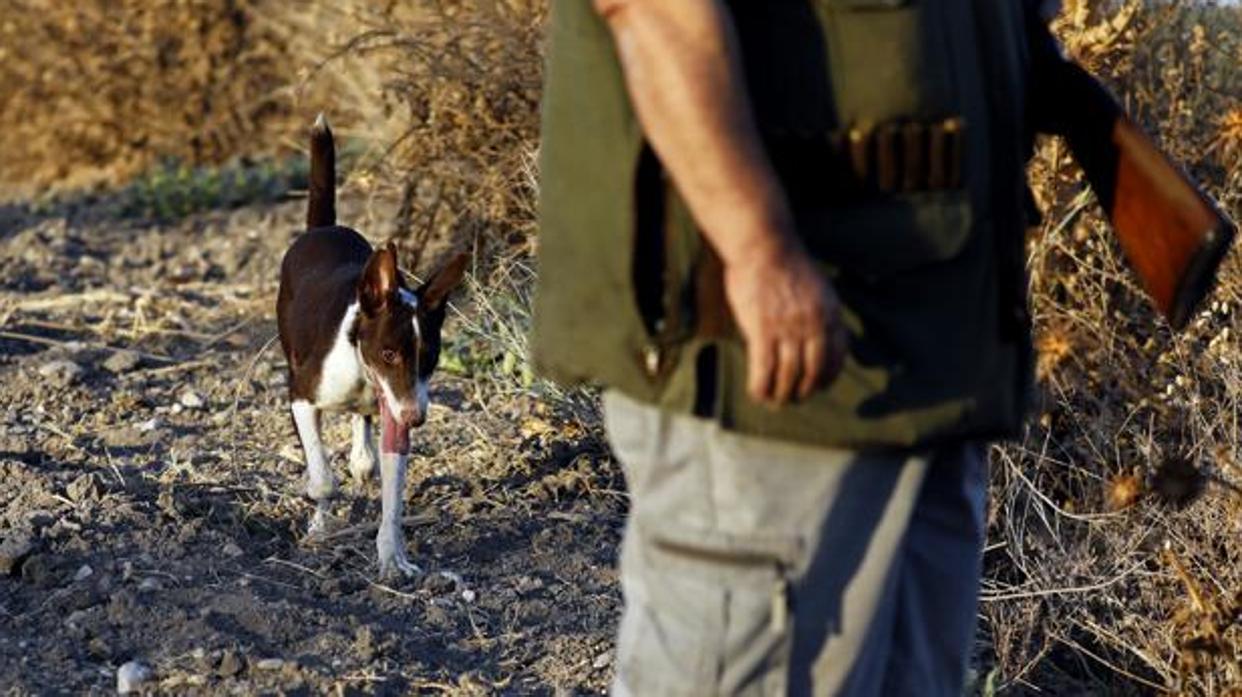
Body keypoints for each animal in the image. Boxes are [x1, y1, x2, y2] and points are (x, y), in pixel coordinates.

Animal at [276, 115, 466, 576]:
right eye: (389, 354)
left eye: (430, 358)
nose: (417, 418)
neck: (362, 371)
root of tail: (322, 228)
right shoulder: (301, 398)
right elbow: (323, 479)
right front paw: (319, 519)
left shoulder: (395, 407)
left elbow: (392, 501)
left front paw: (393, 557)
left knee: (362, 433)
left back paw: (362, 457)